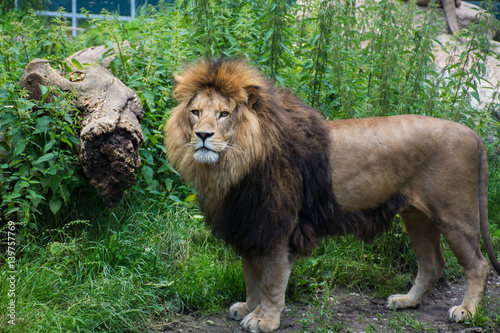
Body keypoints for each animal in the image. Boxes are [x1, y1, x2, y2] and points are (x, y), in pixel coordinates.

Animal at [165, 59, 500, 332]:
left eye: (223, 114)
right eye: (195, 113)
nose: (203, 135)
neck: (234, 166)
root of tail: (474, 134)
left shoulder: (279, 228)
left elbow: (271, 281)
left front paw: (263, 319)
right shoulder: (250, 225)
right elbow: (251, 277)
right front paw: (248, 307)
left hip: (456, 215)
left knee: (478, 266)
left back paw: (467, 312)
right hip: (417, 217)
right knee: (432, 265)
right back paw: (406, 301)